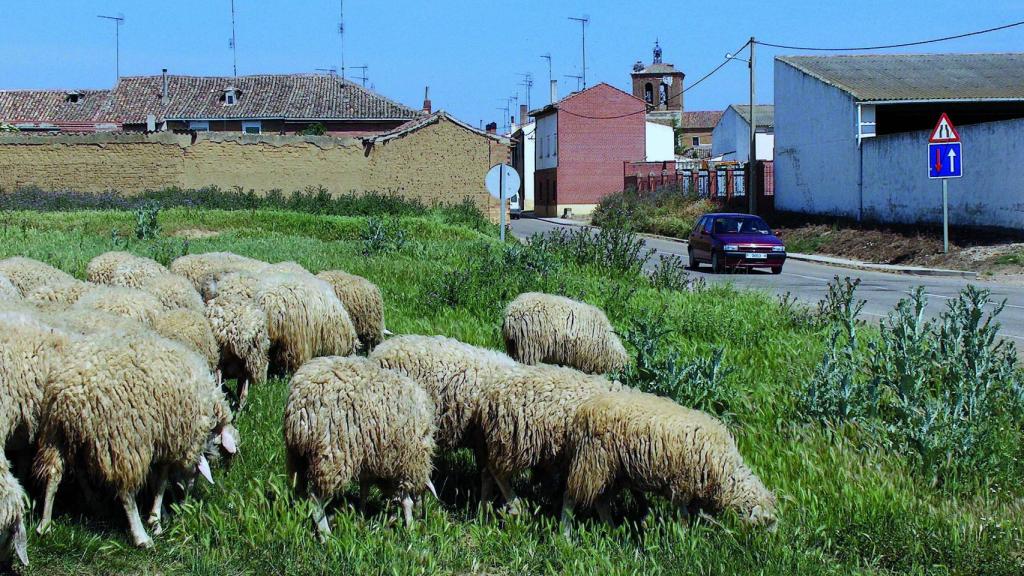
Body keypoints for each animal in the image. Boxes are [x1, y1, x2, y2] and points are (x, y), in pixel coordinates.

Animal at [33, 333, 238, 548]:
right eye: (197, 473)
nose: (185, 503)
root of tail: (71, 394)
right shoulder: (171, 441)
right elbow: (161, 481)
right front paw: (155, 520)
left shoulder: (161, 439)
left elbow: (157, 481)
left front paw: (159, 516)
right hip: (124, 440)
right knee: (126, 493)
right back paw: (140, 536)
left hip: (56, 433)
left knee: (54, 474)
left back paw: (46, 525)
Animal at [284, 356, 436, 535]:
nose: (422, 517)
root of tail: (300, 400)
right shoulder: (405, 461)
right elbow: (406, 501)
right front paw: (410, 526)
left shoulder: (371, 461)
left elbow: (364, 490)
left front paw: (361, 517)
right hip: (332, 454)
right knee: (316, 500)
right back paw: (326, 535)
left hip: (297, 455)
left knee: (299, 489)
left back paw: (299, 517)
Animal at [477, 364, 626, 512]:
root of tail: (492, 388)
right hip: (512, 442)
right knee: (497, 472)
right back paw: (515, 506)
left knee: (486, 472)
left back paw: (484, 509)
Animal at [563, 391, 776, 530]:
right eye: (764, 525)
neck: (726, 470)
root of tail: (584, 410)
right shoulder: (683, 483)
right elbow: (682, 515)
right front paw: (683, 535)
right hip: (592, 463)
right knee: (570, 498)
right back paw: (565, 535)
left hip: (613, 473)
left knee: (602, 501)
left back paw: (611, 529)